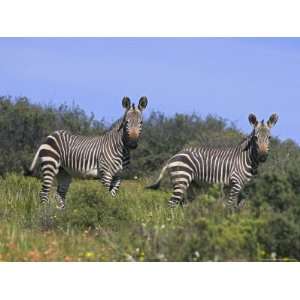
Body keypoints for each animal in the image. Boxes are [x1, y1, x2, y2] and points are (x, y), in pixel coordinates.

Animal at [147, 113, 278, 210]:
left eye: (269, 138)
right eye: (255, 138)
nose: (263, 157)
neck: (246, 158)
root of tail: (173, 157)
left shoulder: (237, 186)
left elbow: (234, 206)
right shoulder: (235, 184)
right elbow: (230, 206)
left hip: (192, 185)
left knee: (182, 204)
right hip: (181, 179)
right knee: (171, 204)